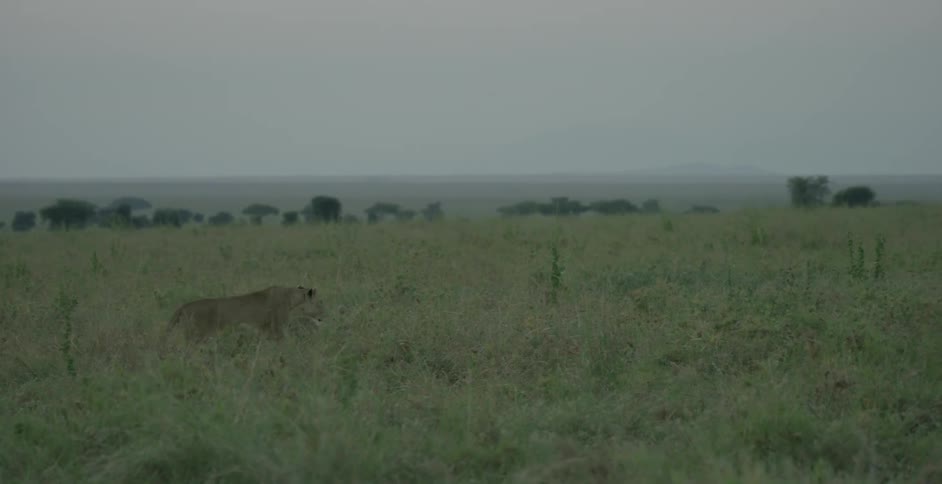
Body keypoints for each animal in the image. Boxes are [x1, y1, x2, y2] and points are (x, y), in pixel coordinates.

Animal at [162, 285, 317, 343]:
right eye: (319, 302)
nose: (321, 317)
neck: (292, 298)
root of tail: (184, 306)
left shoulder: (265, 328)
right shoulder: (277, 328)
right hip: (197, 336)